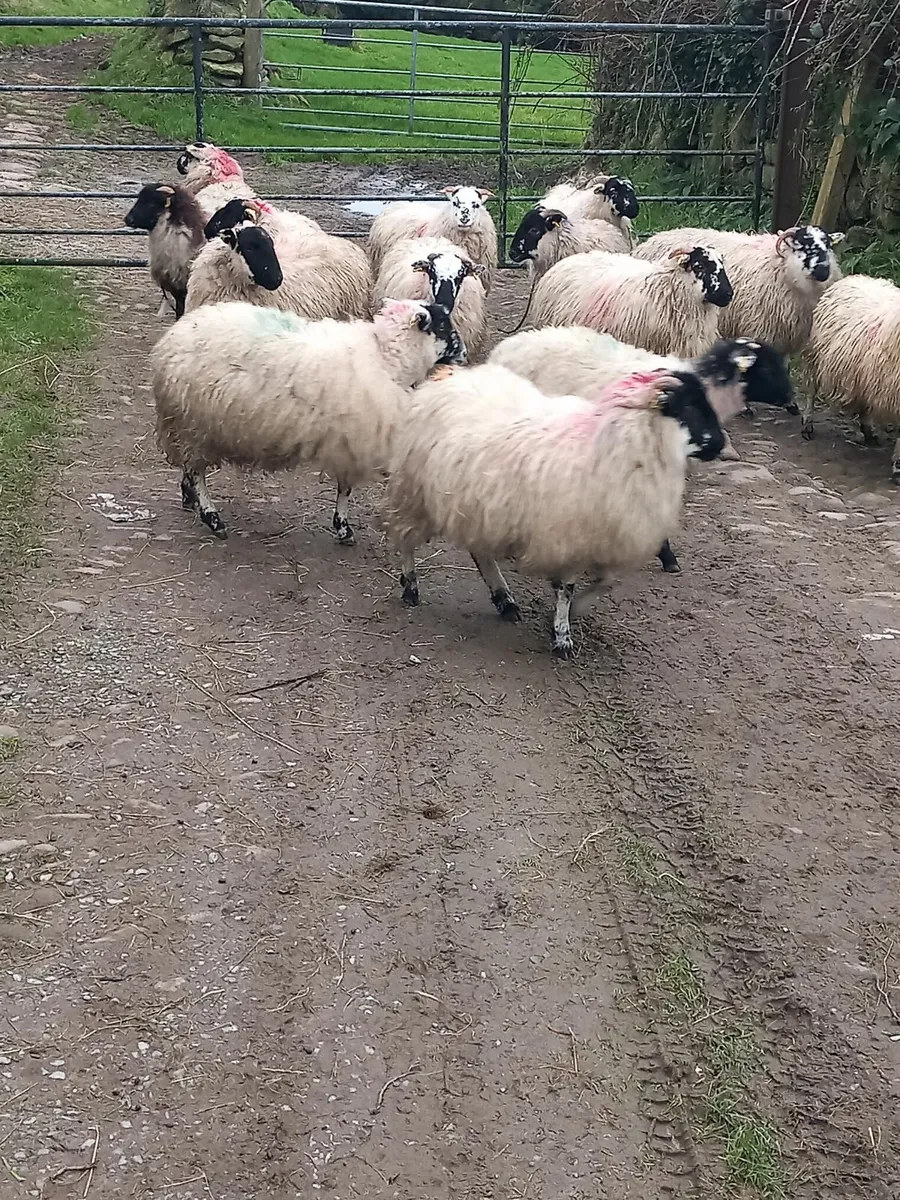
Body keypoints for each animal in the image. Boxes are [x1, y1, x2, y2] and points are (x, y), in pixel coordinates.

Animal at [152, 299, 466, 545]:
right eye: (442, 327)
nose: (464, 354)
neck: (386, 358)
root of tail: (171, 340)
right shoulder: (351, 441)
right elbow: (345, 487)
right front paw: (343, 528)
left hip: (189, 427)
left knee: (189, 466)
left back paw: (190, 498)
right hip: (194, 425)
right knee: (197, 471)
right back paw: (212, 517)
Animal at [385, 362, 725, 657]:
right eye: (689, 407)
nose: (721, 445)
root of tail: (446, 376)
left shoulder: (601, 542)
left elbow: (605, 583)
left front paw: (575, 613)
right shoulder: (566, 536)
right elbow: (567, 588)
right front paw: (563, 636)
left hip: (479, 508)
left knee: (480, 553)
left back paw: (504, 600)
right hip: (416, 492)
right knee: (406, 539)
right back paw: (411, 587)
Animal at [802, 273, 900, 482]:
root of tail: (855, 277)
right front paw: (898, 466)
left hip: (862, 375)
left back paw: (869, 432)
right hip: (815, 357)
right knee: (811, 391)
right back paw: (807, 424)